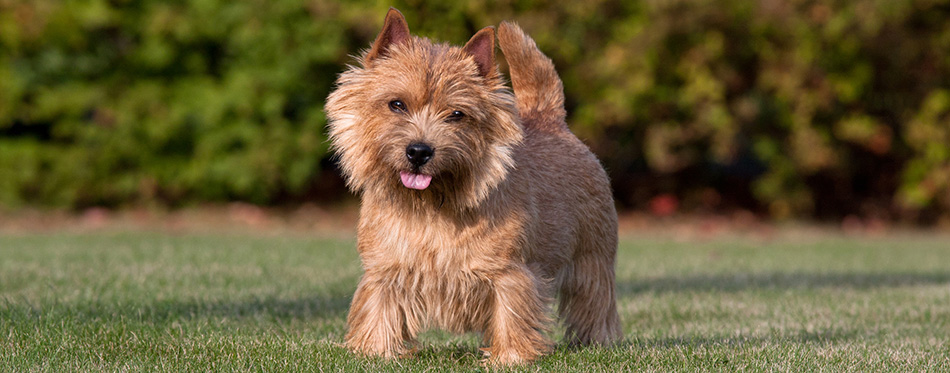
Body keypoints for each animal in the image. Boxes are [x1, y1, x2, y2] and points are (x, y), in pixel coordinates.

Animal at [328, 8, 624, 364]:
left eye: (457, 114)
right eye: (396, 104)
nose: (419, 151)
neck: (431, 206)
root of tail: (551, 121)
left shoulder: (509, 272)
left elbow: (511, 311)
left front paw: (509, 358)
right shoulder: (384, 269)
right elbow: (378, 307)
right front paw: (376, 351)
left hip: (593, 255)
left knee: (596, 300)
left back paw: (598, 342)